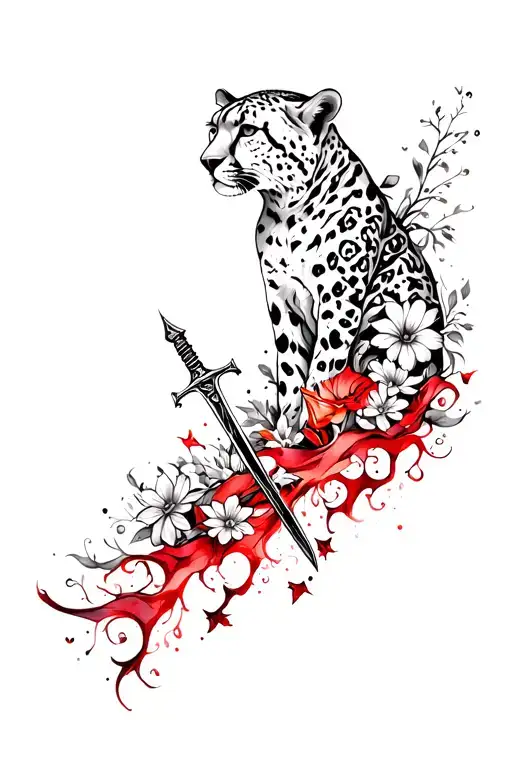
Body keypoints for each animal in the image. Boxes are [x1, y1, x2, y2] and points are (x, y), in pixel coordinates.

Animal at [200, 88, 445, 431]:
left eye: (248, 130)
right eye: (213, 130)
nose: (207, 162)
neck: (285, 214)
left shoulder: (339, 298)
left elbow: (324, 364)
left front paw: (314, 426)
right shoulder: (281, 298)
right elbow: (290, 367)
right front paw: (287, 429)